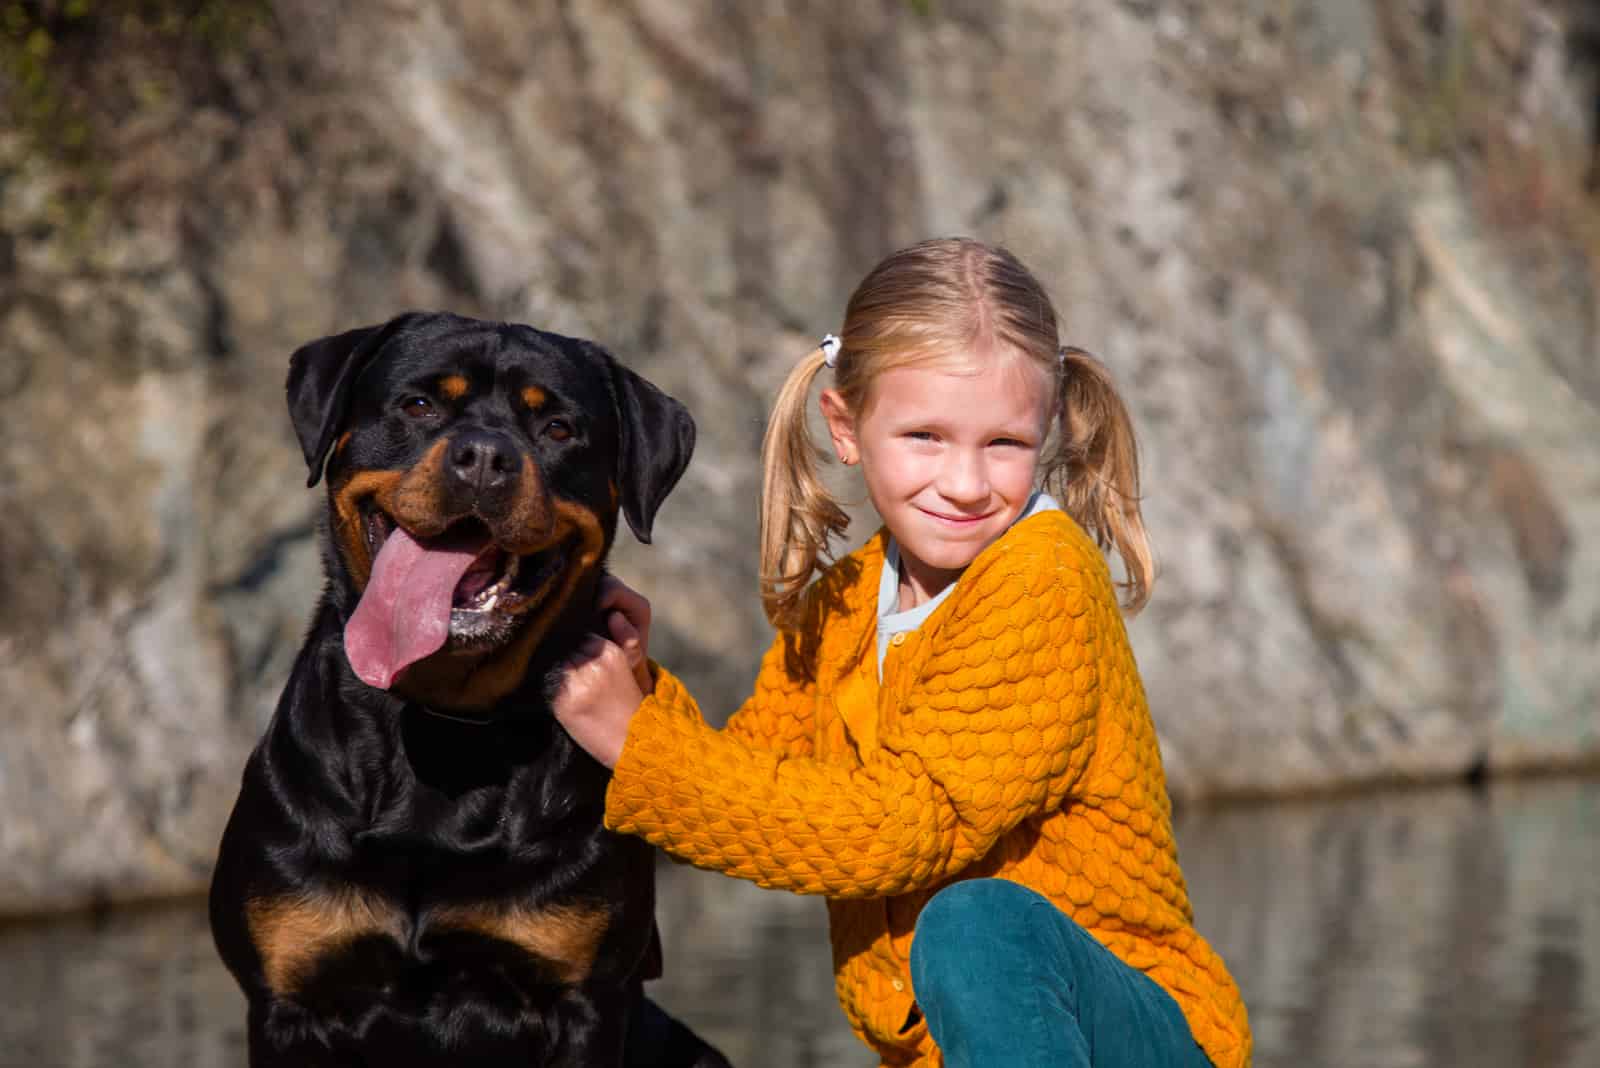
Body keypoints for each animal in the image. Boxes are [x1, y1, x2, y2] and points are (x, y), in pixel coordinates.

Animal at [211, 313, 732, 1061]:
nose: (485, 455)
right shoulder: (288, 997)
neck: (441, 725)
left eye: (558, 429)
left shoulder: (587, 1001)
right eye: (418, 405)